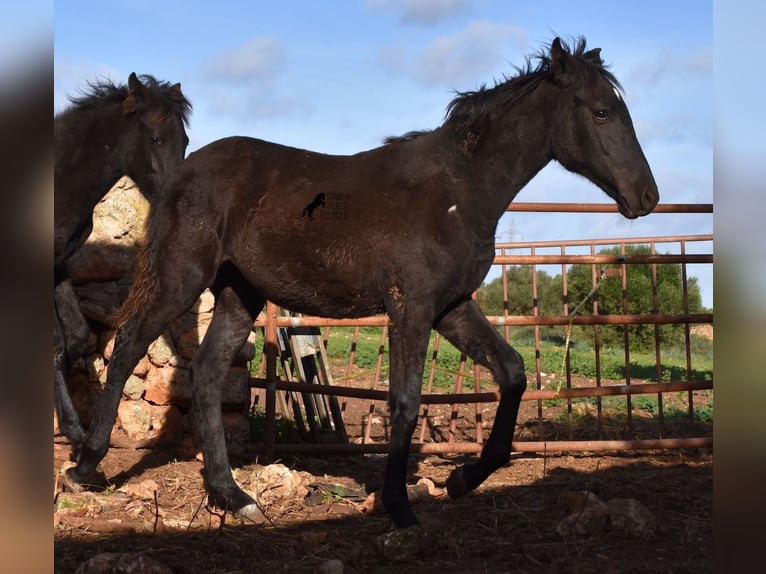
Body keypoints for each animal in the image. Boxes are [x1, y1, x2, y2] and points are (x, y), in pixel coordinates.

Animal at [54, 74, 192, 456]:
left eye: (186, 141)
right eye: (155, 138)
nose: (178, 198)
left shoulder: (58, 263)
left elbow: (74, 335)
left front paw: (74, 432)